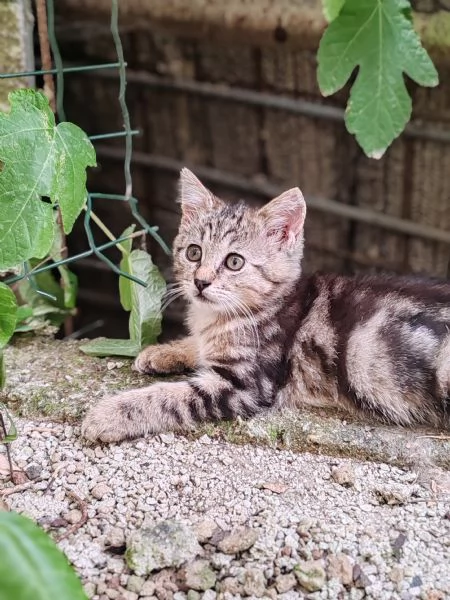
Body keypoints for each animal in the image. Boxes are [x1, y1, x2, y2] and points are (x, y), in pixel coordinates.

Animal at [82, 168, 450, 440]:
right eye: (194, 253)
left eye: (234, 262)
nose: (200, 281)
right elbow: (198, 345)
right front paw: (162, 351)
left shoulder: (246, 385)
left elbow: (168, 398)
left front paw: (108, 415)